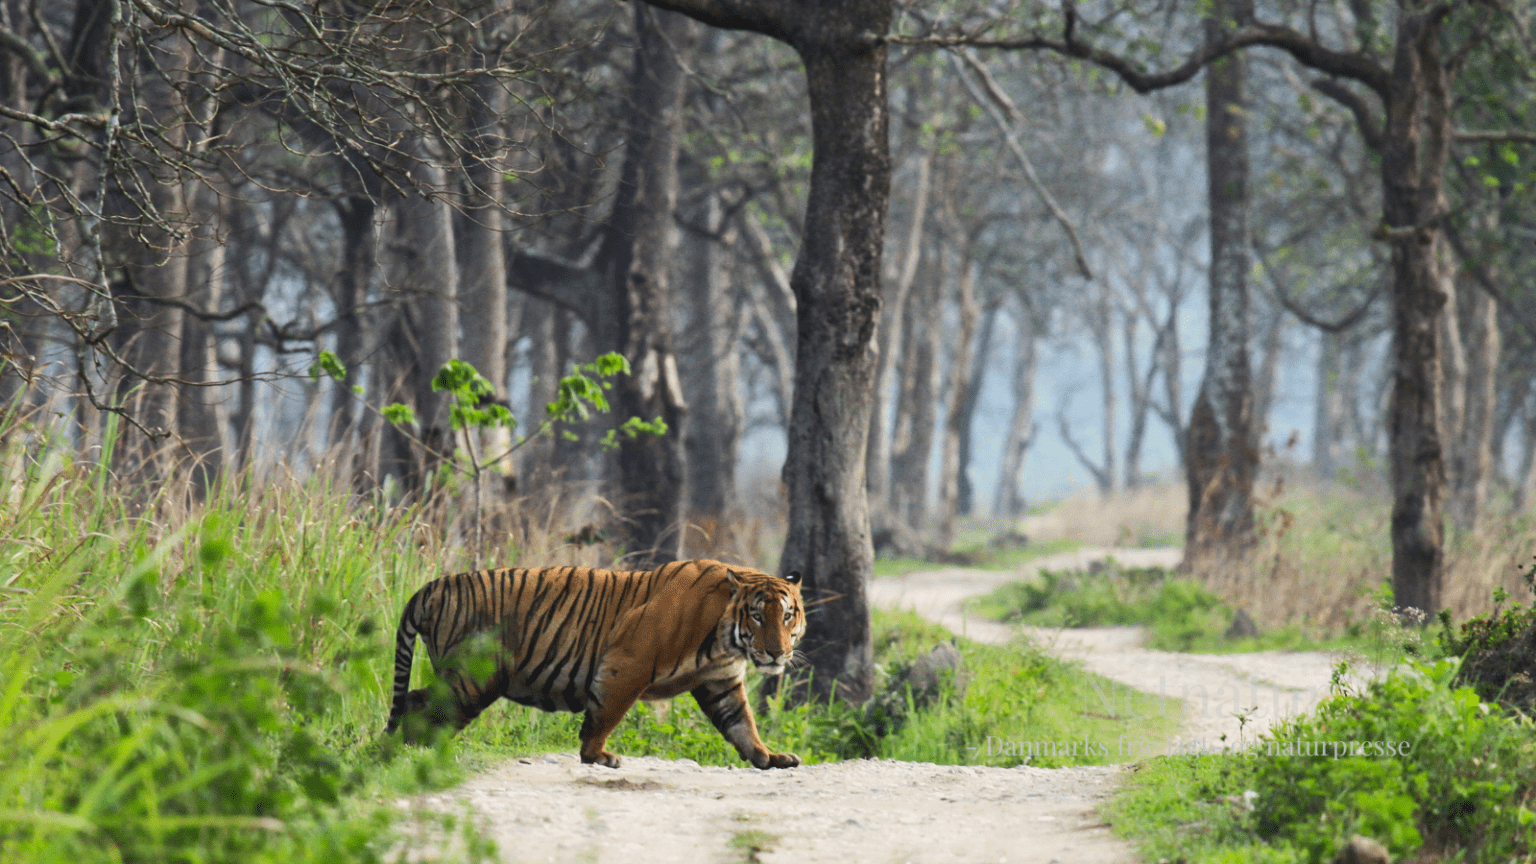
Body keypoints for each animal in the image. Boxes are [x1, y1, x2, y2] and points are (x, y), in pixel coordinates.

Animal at [384, 559, 806, 769]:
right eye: (757, 617)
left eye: (787, 616)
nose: (776, 653)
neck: (725, 641)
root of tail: (431, 588)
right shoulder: (628, 663)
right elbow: (606, 714)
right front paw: (597, 756)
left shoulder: (721, 683)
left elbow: (742, 725)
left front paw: (768, 757)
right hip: (474, 678)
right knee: (420, 704)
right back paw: (411, 754)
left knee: (417, 701)